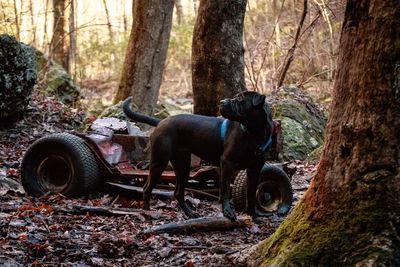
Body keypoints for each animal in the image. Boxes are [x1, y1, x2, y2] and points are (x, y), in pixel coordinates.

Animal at [122, 92, 272, 222]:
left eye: (240, 99)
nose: (222, 102)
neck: (253, 134)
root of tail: (161, 121)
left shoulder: (255, 169)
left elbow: (251, 194)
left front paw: (253, 216)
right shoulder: (227, 163)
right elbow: (224, 191)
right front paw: (228, 212)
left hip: (183, 165)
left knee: (178, 192)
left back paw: (190, 213)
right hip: (159, 161)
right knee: (147, 187)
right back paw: (147, 212)